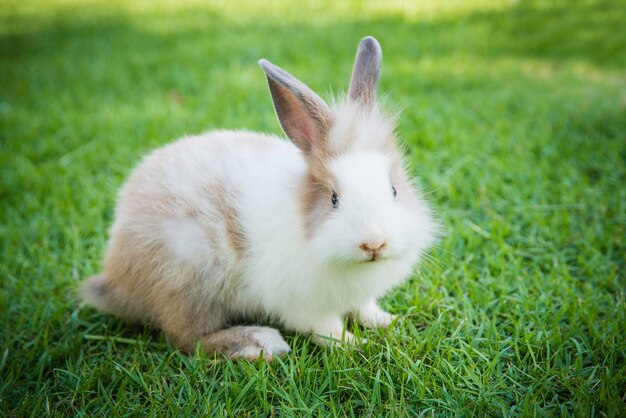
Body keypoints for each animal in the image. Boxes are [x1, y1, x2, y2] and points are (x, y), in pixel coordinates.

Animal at [81, 36, 434, 360]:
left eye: (394, 190)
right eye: (334, 198)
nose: (374, 244)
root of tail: (117, 276)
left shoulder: (358, 296)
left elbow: (364, 308)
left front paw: (387, 321)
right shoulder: (303, 303)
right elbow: (327, 328)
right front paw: (355, 345)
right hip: (188, 281)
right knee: (186, 338)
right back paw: (259, 343)